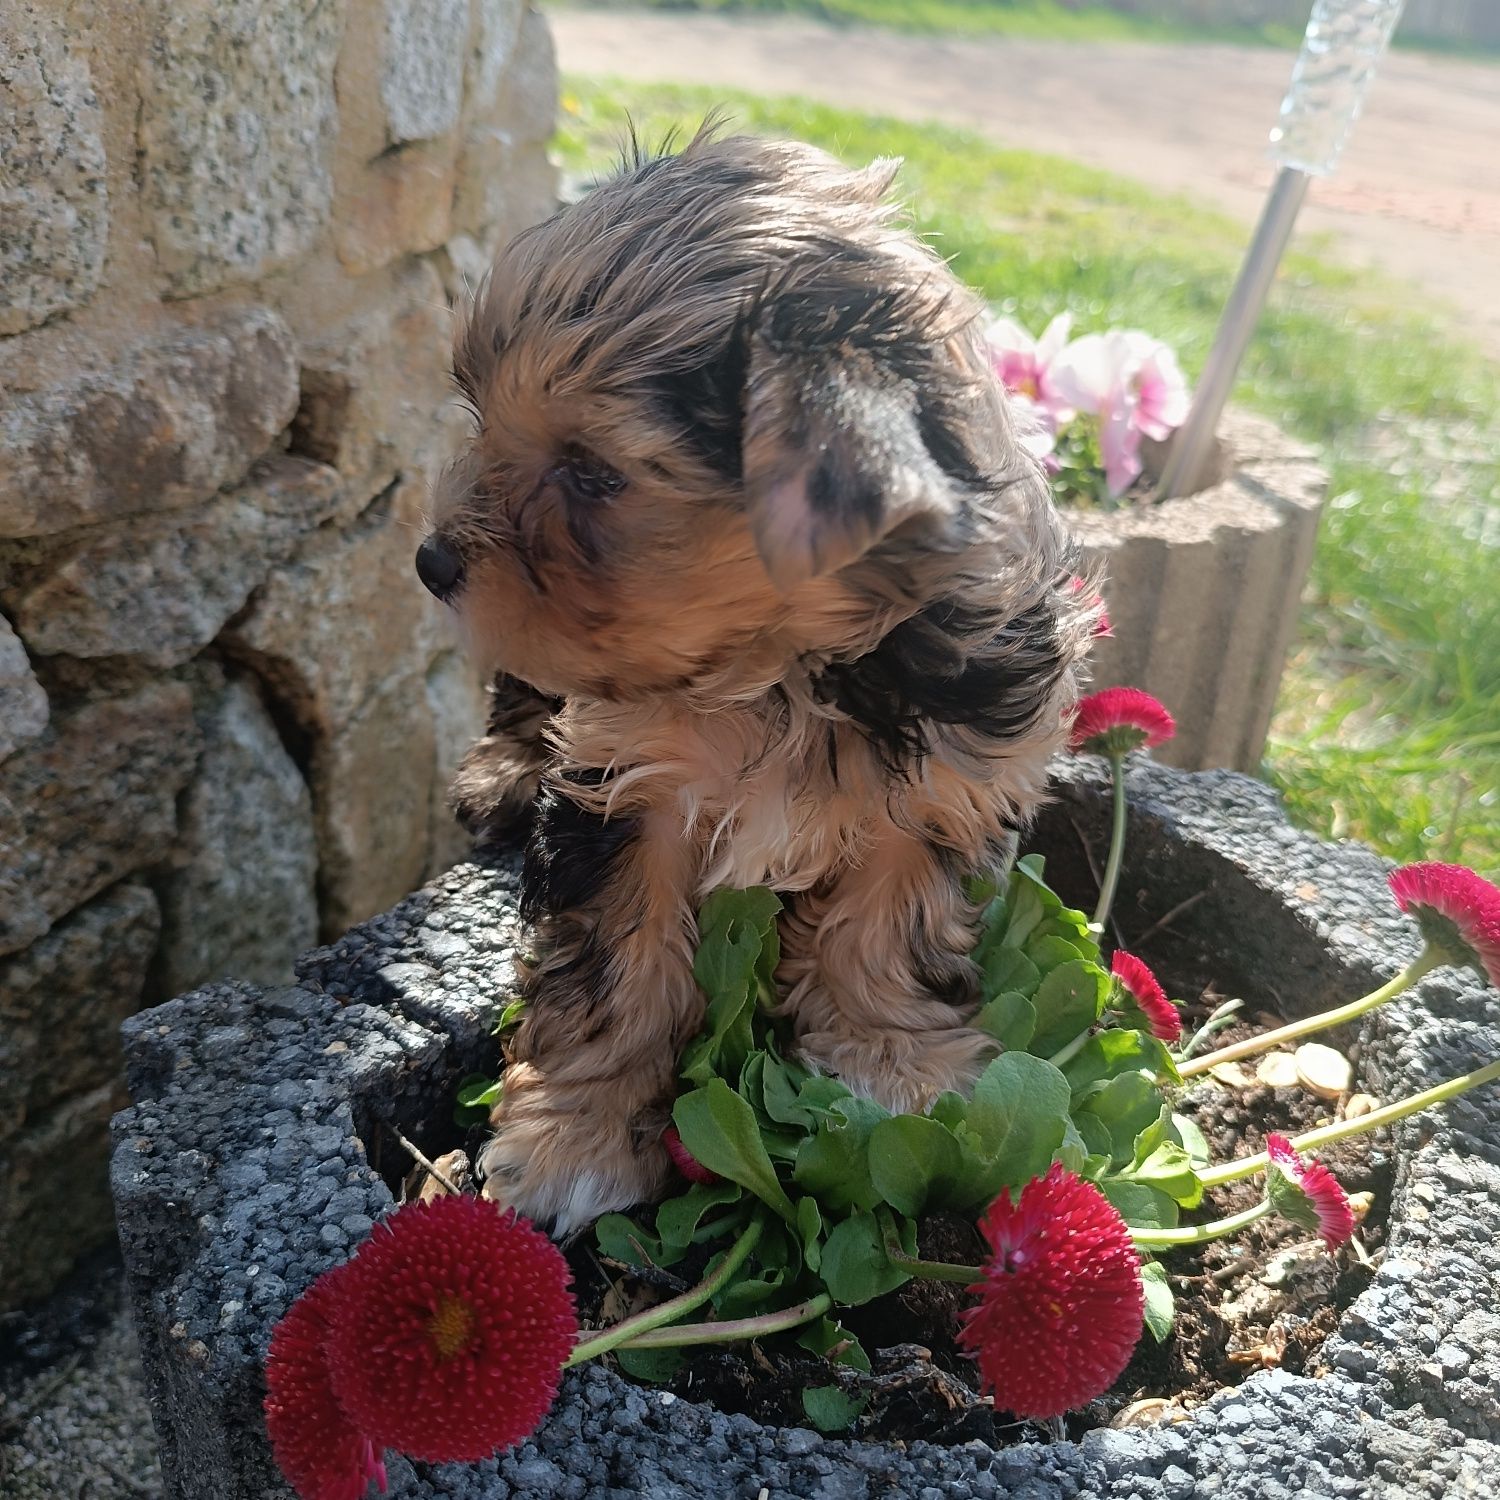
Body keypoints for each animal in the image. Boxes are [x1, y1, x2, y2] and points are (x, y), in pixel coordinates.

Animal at [417, 126, 1098, 1230]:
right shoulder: (620, 776)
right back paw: (502, 776)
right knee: (520, 694)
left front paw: (893, 1063)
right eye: (484, 419)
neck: (782, 669)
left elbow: (886, 926)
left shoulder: (947, 777)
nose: (432, 560)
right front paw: (578, 1135)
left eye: (593, 472)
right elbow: (617, 959)